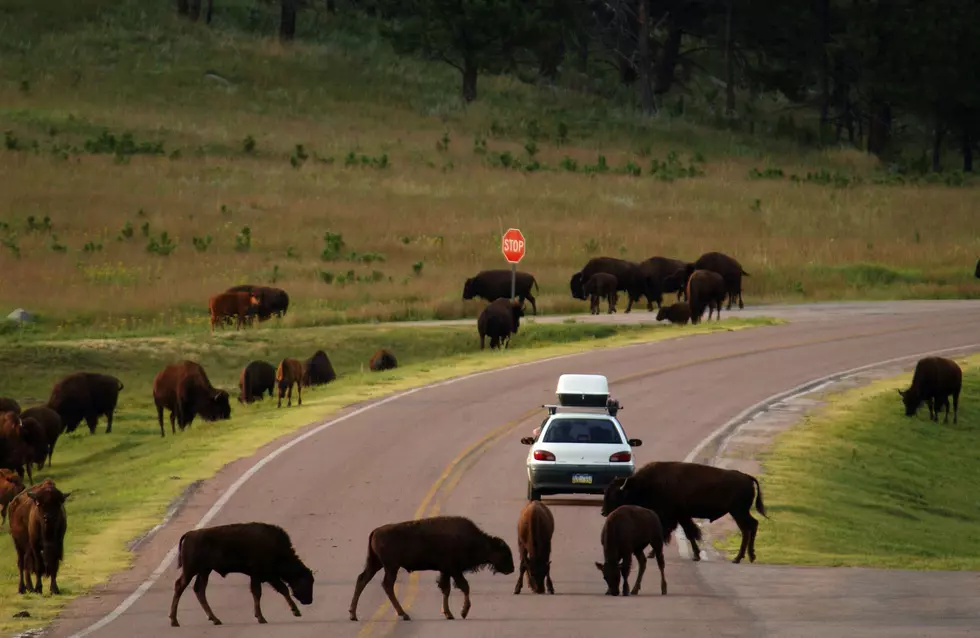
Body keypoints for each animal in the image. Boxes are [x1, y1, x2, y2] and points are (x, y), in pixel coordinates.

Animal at [168, 524, 314, 632]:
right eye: (306, 582)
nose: (309, 600)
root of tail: (189, 534)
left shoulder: (261, 576)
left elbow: (264, 592)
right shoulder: (262, 575)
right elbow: (270, 591)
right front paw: (263, 618)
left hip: (204, 571)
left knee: (199, 590)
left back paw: (215, 619)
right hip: (191, 570)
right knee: (180, 586)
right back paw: (174, 621)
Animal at [350, 516, 516, 624]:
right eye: (505, 553)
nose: (512, 569)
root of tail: (376, 531)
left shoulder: (446, 571)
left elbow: (446, 589)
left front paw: (449, 613)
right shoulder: (453, 570)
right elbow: (464, 587)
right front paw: (463, 612)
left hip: (376, 564)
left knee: (362, 579)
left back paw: (353, 615)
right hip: (391, 567)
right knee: (387, 585)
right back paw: (404, 615)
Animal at [600, 464, 768, 564]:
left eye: (614, 495)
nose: (603, 512)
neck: (645, 485)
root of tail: (747, 477)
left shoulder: (677, 516)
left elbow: (686, 533)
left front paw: (695, 555)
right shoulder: (677, 517)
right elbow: (680, 533)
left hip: (738, 512)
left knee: (747, 529)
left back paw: (738, 558)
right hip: (740, 512)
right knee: (752, 525)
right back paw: (750, 556)